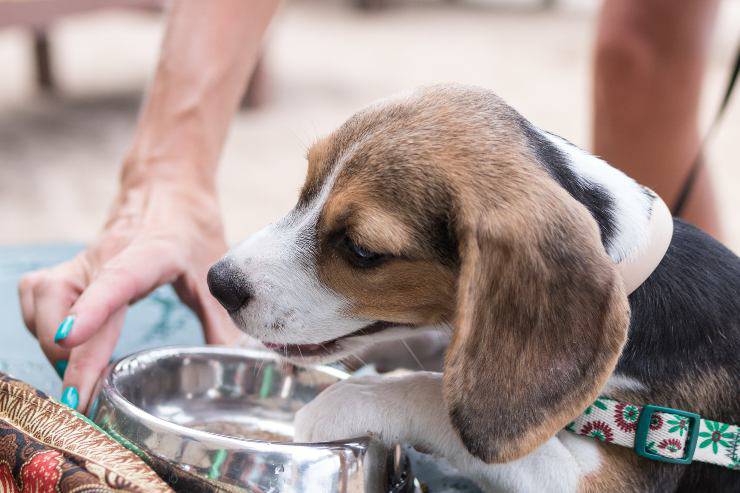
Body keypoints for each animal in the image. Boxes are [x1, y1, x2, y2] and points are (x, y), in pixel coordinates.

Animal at [208, 85, 740, 492]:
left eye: (360, 250)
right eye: (305, 192)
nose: (219, 283)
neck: (636, 280)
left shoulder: (599, 478)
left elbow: (435, 396)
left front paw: (346, 401)